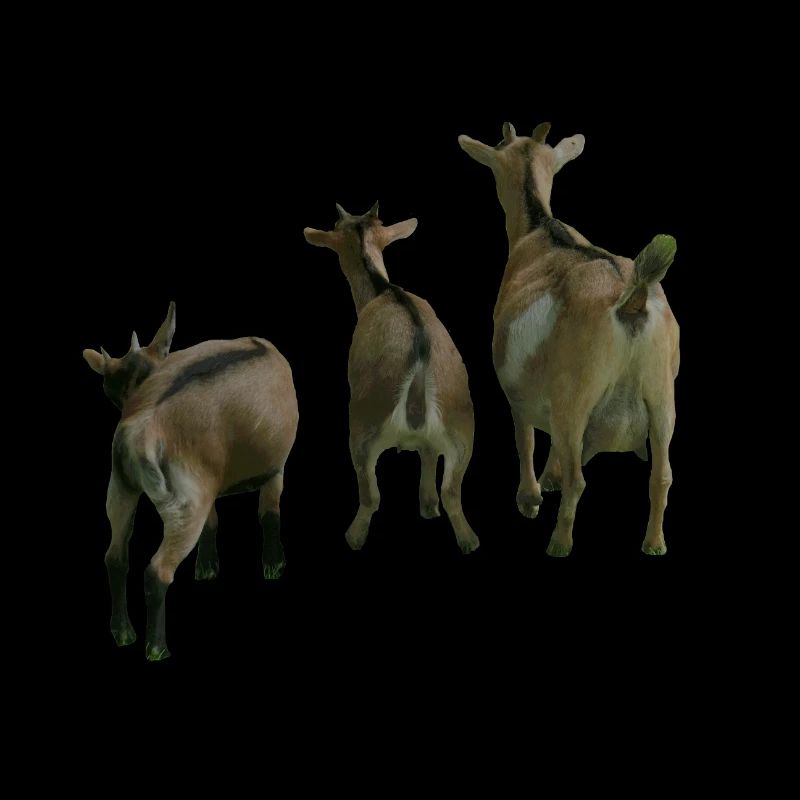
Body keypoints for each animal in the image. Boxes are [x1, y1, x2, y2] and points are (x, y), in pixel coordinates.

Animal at [83, 302, 299, 659]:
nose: (127, 404)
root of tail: (139, 432)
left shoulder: (208, 482)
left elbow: (213, 522)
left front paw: (207, 567)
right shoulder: (275, 468)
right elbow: (269, 513)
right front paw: (274, 565)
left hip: (121, 486)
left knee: (114, 556)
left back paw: (123, 632)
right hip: (183, 503)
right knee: (158, 570)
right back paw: (157, 648)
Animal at [304, 203, 479, 554]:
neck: (383, 291)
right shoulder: (433, 441)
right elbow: (429, 457)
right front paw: (428, 506)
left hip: (363, 428)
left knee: (371, 495)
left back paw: (353, 537)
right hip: (462, 430)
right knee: (452, 492)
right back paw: (466, 539)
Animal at [459, 121, 679, 556]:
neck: (539, 229)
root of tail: (632, 301)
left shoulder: (517, 389)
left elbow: (525, 437)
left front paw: (530, 497)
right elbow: (556, 448)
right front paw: (548, 480)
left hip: (576, 396)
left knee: (579, 478)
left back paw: (559, 543)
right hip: (663, 395)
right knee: (661, 476)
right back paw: (654, 543)